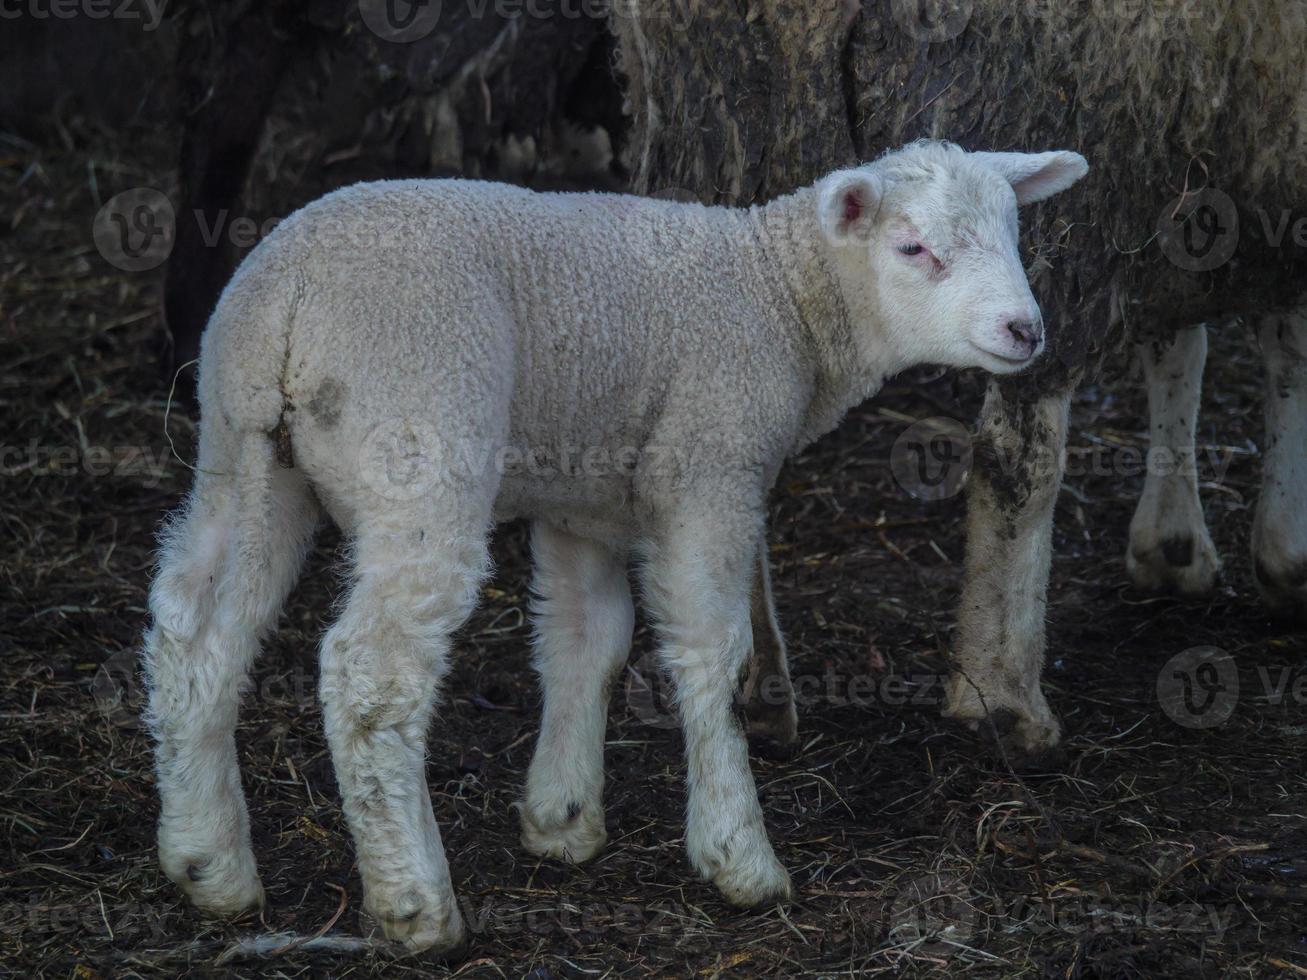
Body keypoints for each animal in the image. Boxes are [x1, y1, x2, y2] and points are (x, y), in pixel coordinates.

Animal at [140, 141, 1092, 956]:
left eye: (1012, 237)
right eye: (911, 247)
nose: (1024, 331)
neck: (781, 293)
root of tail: (287, 297)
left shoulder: (583, 497)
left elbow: (584, 642)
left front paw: (561, 819)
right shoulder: (708, 467)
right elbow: (710, 649)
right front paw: (737, 855)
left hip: (243, 450)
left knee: (194, 631)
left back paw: (208, 865)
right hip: (418, 440)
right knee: (371, 673)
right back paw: (415, 904)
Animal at [606, 0, 1307, 757]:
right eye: (913, 247)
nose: (1024, 329)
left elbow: (1183, 346)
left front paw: (1174, 543)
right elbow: (1285, 350)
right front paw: (1283, 553)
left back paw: (763, 692)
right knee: (1018, 462)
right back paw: (1001, 690)